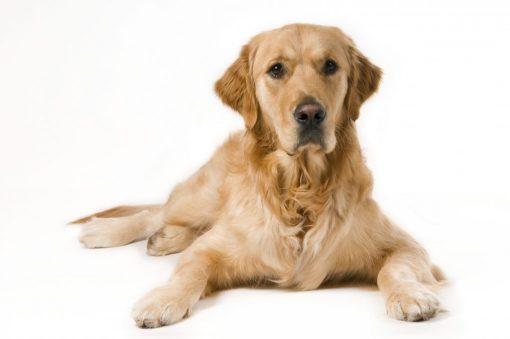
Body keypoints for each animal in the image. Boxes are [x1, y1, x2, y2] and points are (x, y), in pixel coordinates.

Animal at [73, 22, 444, 328]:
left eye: (330, 65)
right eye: (276, 69)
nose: (311, 113)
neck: (301, 187)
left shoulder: (406, 245)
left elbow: (396, 268)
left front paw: (411, 295)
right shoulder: (212, 249)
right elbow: (189, 270)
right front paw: (164, 299)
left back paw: (165, 238)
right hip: (201, 196)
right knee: (156, 212)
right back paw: (104, 231)